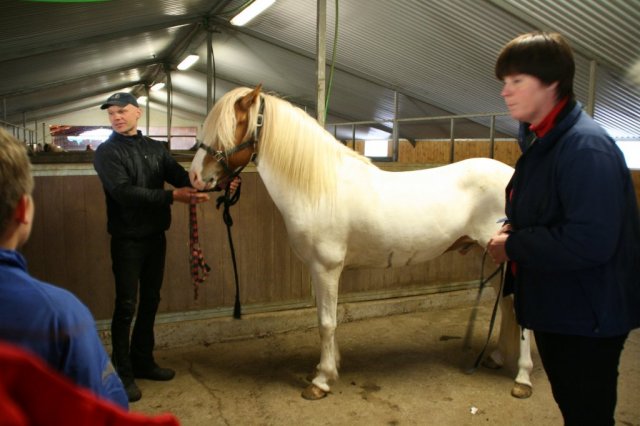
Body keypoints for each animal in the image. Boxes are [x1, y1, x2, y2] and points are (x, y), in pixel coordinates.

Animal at [190, 85, 536, 400]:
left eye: (228, 127)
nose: (194, 177)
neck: (319, 187)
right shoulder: (321, 270)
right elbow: (325, 319)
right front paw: (328, 367)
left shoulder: (326, 267)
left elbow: (326, 323)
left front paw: (321, 381)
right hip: (492, 255)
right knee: (508, 306)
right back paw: (497, 358)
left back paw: (523, 378)